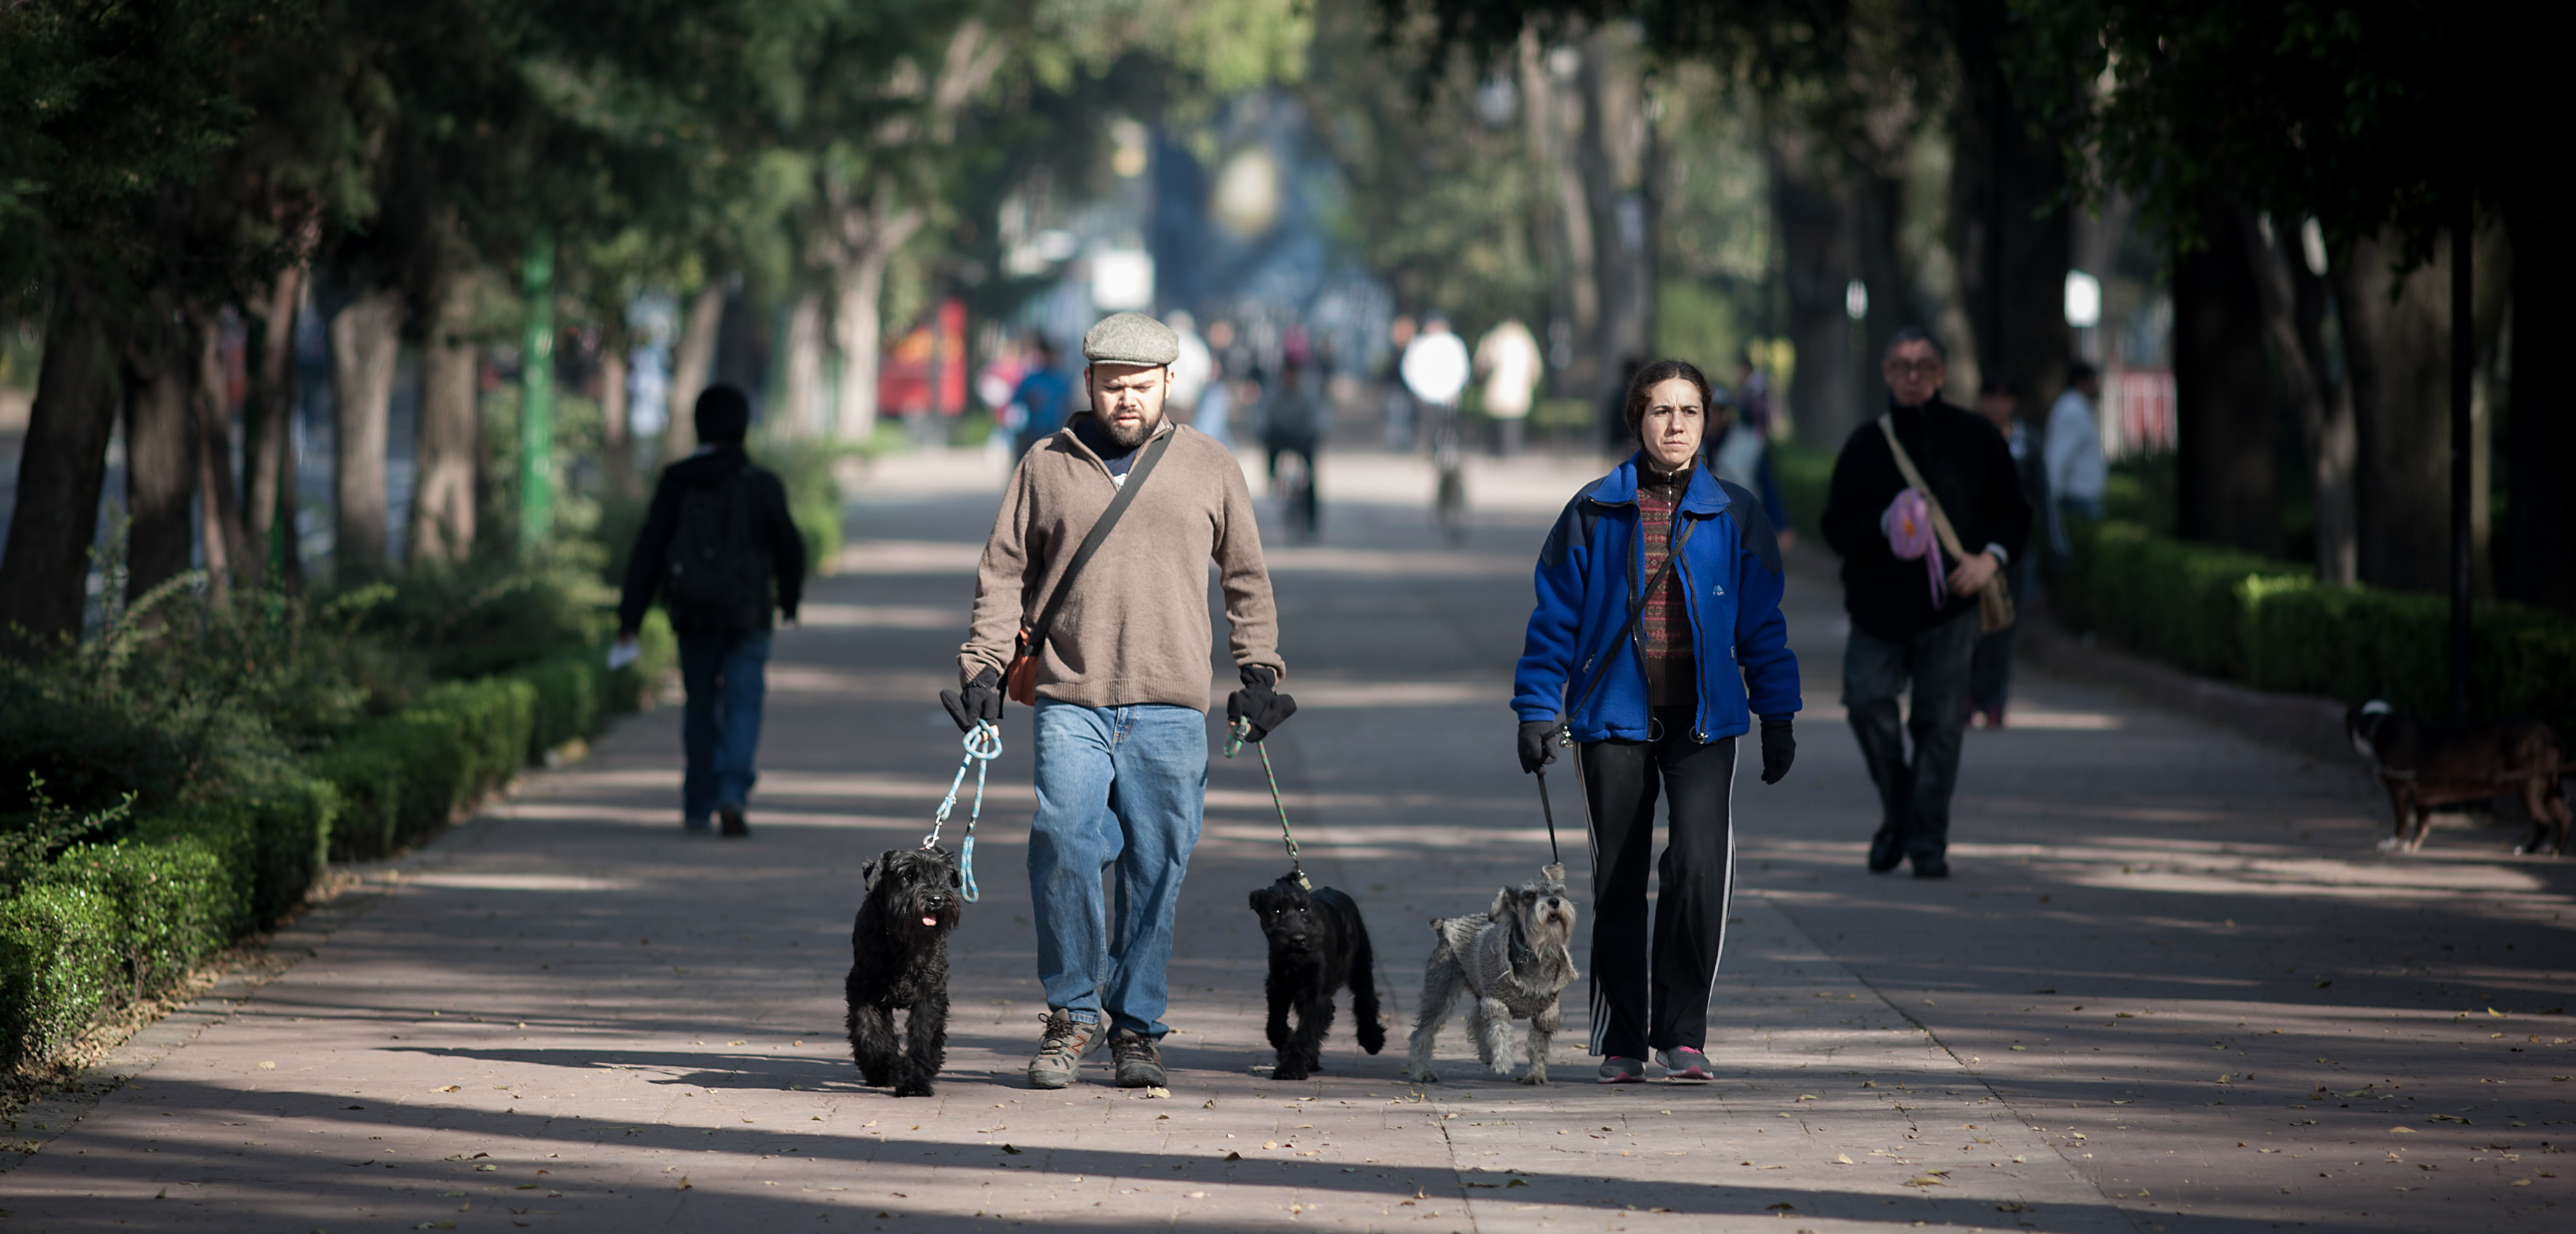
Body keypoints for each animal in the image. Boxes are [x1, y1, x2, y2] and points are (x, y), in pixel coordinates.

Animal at [850, 850, 963, 1102]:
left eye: (942, 875)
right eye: (908, 875)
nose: (936, 899)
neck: (901, 942)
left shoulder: (930, 993)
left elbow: (923, 1037)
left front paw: (915, 1084)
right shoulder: (863, 987)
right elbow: (869, 1032)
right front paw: (882, 1069)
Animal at [1251, 870, 1391, 1081]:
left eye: (1303, 909)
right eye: (1276, 911)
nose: (1298, 940)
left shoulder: (1316, 996)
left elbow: (1306, 1032)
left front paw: (1292, 1068)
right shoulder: (1278, 986)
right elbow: (1275, 1025)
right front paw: (1286, 1044)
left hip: (1361, 966)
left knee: (1365, 999)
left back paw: (1372, 1040)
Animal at [1401, 876, 1576, 1087]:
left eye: (1558, 892)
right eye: (1530, 895)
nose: (1554, 902)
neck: (1534, 953)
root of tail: (1445, 926)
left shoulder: (1546, 1013)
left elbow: (1538, 1046)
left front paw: (1536, 1074)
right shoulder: (1496, 1001)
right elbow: (1501, 1031)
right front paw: (1504, 1062)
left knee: (1475, 1018)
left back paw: (1486, 1054)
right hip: (1440, 993)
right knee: (1422, 1033)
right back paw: (1423, 1072)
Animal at [2359, 700, 2555, 855]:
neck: (2382, 728)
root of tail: (2548, 733)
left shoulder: (2400, 790)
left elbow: (2402, 822)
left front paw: (2396, 843)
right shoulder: (2419, 793)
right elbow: (2421, 823)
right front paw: (2411, 844)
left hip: (2530, 786)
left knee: (2544, 822)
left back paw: (2529, 848)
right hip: (2546, 790)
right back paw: (2552, 849)